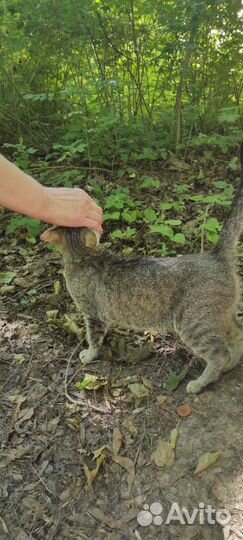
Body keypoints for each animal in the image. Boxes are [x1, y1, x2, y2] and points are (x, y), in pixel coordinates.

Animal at [40, 146, 243, 394]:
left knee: (219, 353)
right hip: (219, 317)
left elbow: (93, 339)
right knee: (238, 336)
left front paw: (88, 355)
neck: (85, 257)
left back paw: (200, 383)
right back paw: (230, 366)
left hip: (194, 323)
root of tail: (215, 254)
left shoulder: (92, 313)